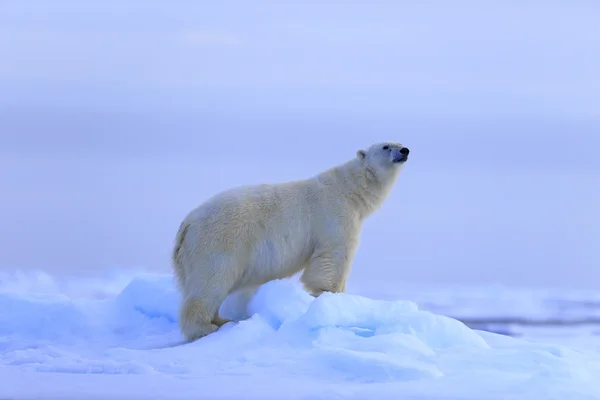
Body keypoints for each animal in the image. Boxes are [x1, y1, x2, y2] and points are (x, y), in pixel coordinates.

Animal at [171, 141, 410, 340]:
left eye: (399, 142)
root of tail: (187, 224)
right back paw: (207, 327)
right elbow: (333, 256)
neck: (348, 190)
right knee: (211, 281)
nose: (405, 151)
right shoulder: (333, 216)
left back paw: (221, 319)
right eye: (386, 146)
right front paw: (330, 295)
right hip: (219, 241)